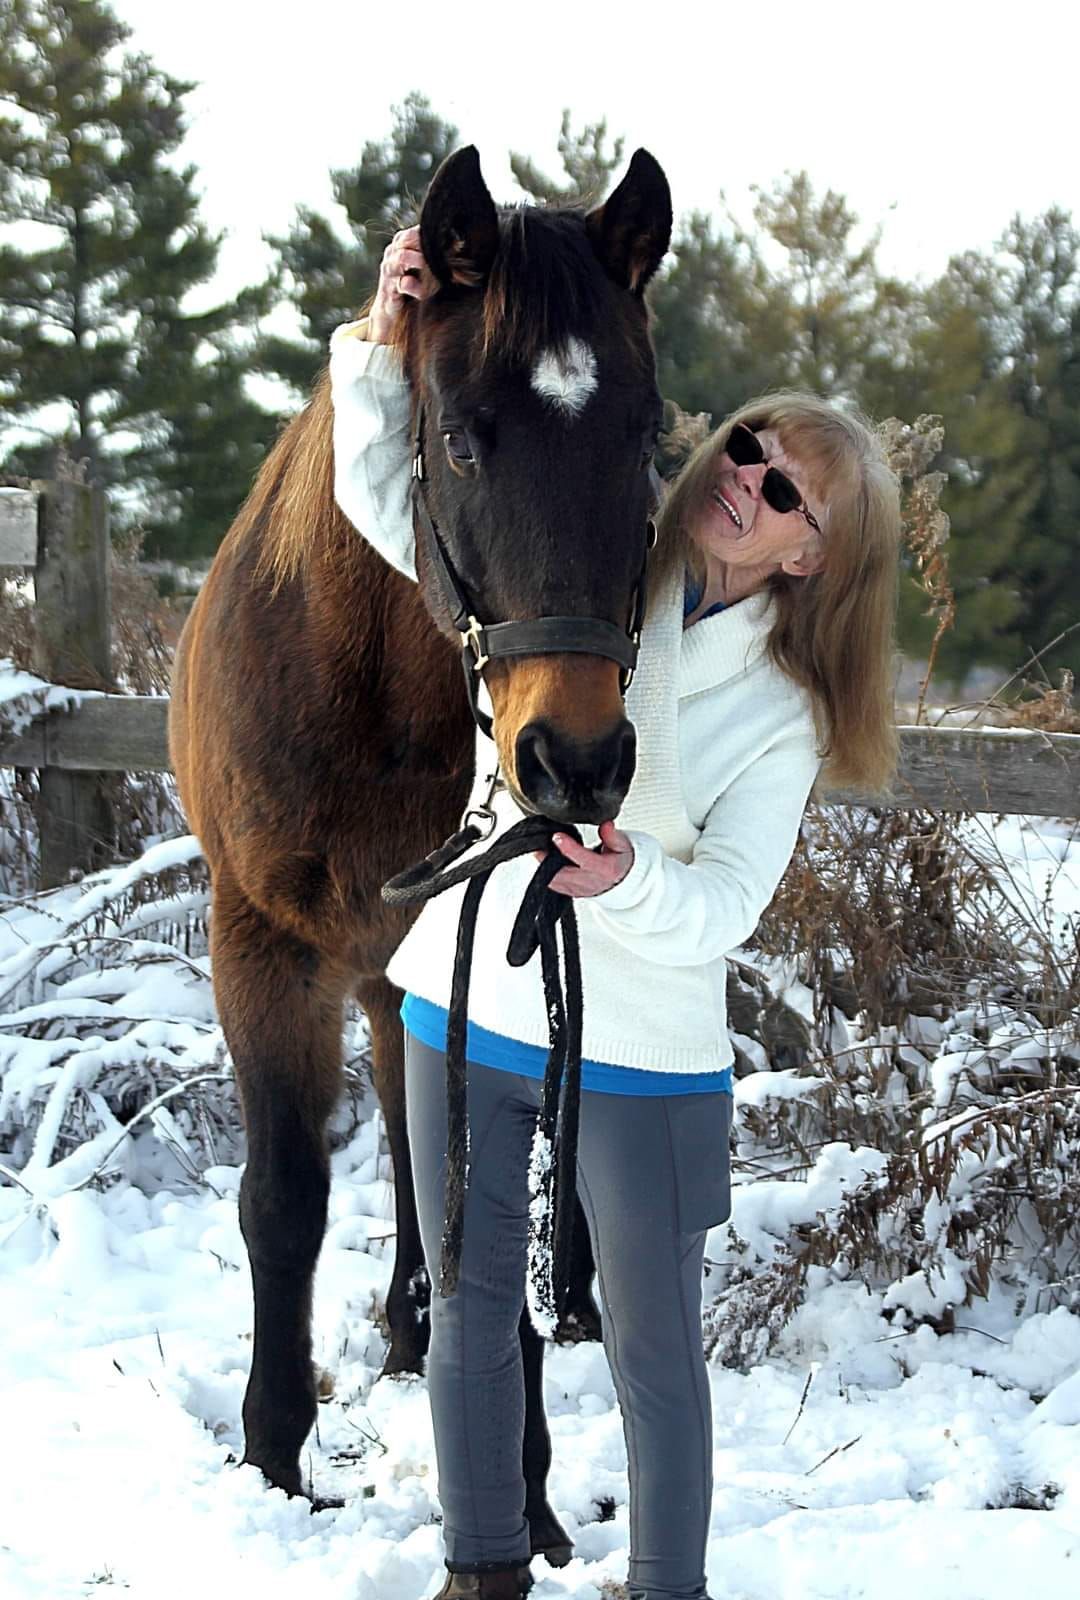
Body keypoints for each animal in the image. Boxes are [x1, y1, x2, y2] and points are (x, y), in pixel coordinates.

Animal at [170, 144, 672, 1555]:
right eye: (459, 435)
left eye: (649, 436)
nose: (575, 759)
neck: (373, 695)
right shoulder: (262, 949)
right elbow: (285, 1199)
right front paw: (274, 1455)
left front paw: (530, 1504)